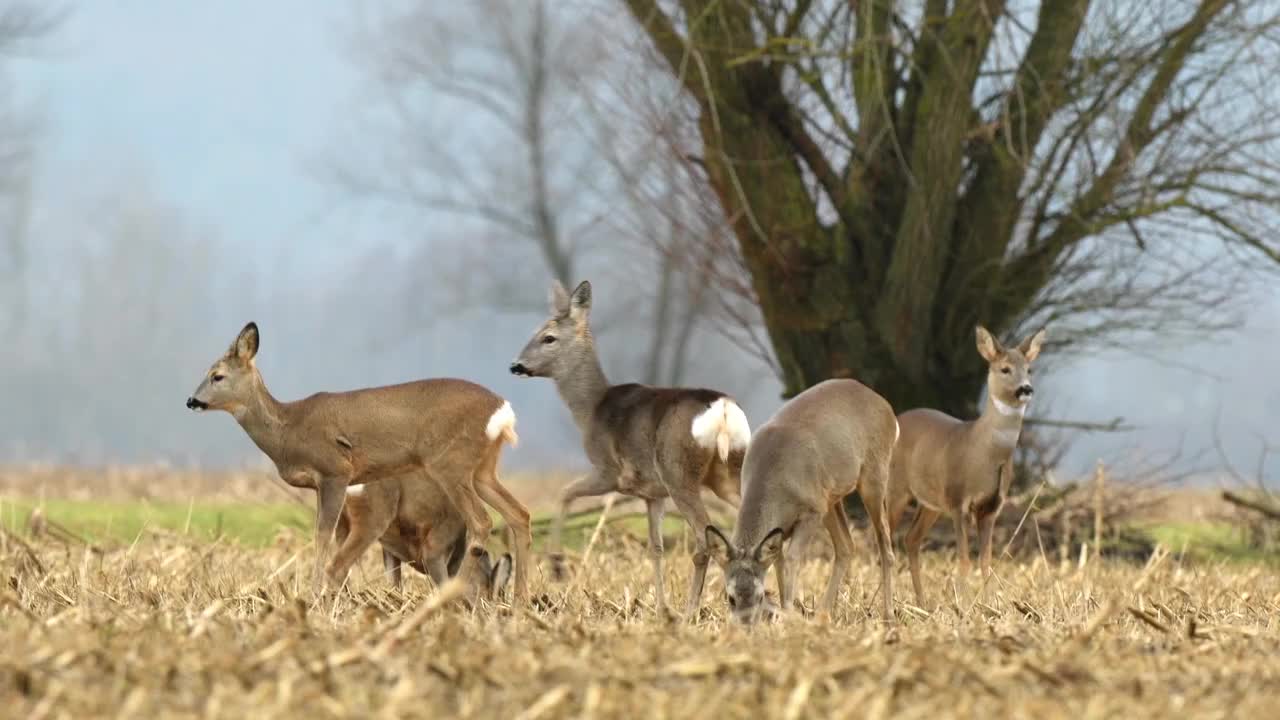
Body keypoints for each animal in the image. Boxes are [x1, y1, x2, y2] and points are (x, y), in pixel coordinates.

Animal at [509, 280, 747, 617]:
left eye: (548, 337)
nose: (516, 365)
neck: (590, 409)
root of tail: (723, 409)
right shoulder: (653, 494)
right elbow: (656, 548)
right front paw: (661, 607)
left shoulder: (610, 471)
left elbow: (565, 493)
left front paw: (556, 565)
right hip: (727, 472)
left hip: (679, 474)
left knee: (704, 541)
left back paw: (691, 611)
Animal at [701, 376, 901, 622]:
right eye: (730, 598)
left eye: (759, 596)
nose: (745, 625)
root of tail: (888, 409)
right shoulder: (783, 527)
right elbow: (778, 562)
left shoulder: (811, 511)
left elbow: (793, 558)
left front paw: (788, 612)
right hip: (830, 498)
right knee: (846, 545)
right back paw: (823, 614)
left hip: (873, 476)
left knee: (885, 545)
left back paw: (888, 614)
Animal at [885, 322, 1044, 602]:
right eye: (1005, 368)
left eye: (1029, 369)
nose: (1026, 388)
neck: (984, 453)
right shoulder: (958, 500)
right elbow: (964, 561)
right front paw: (963, 604)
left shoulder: (991, 507)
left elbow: (986, 562)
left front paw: (988, 605)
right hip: (897, 489)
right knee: (886, 540)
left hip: (931, 503)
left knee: (911, 539)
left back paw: (922, 602)